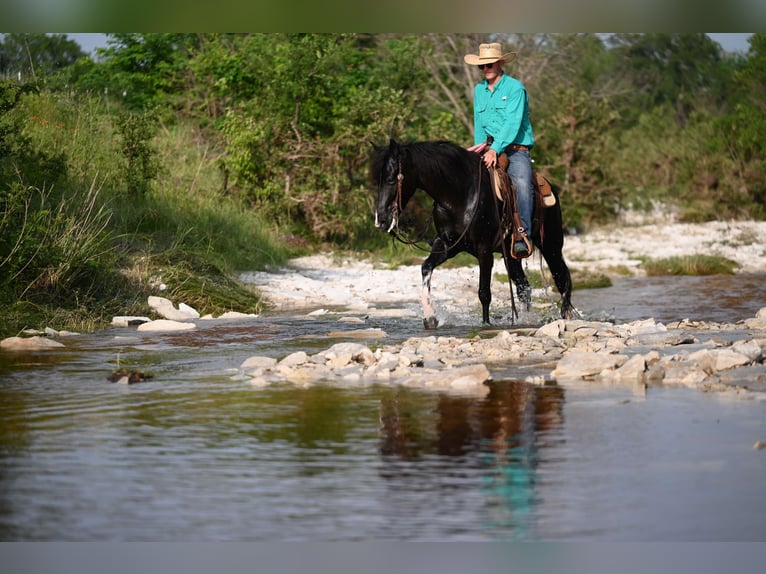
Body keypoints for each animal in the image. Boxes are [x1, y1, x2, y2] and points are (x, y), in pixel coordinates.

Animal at [372, 137, 576, 330]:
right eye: (378, 181)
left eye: (391, 179)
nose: (381, 220)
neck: (459, 194)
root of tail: (548, 185)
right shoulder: (447, 245)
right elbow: (426, 267)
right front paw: (430, 318)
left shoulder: (484, 250)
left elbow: (484, 292)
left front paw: (485, 325)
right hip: (511, 256)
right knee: (524, 288)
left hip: (551, 245)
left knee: (562, 278)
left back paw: (566, 316)